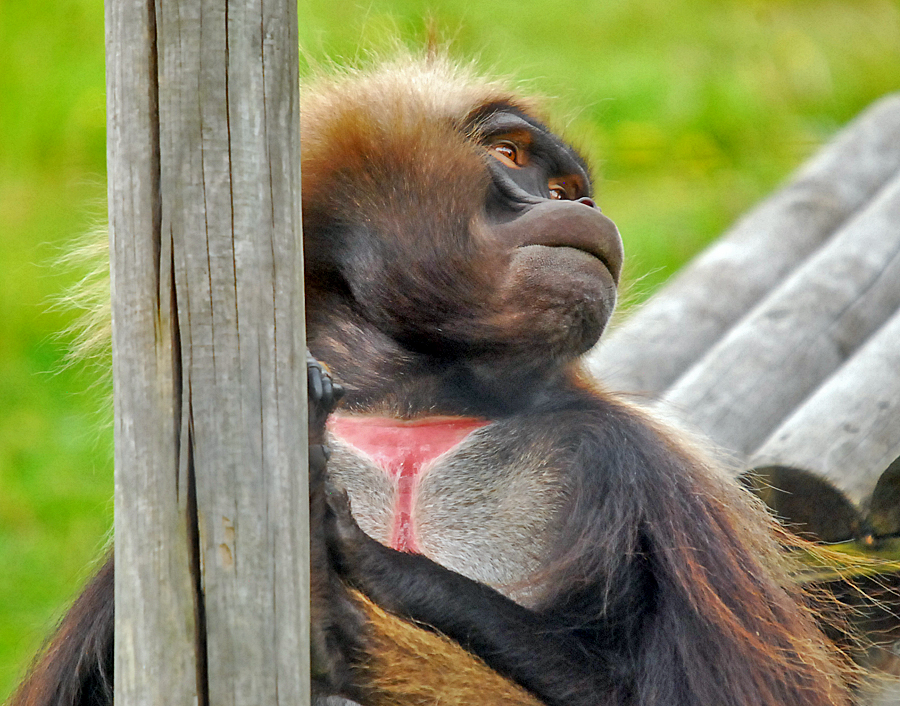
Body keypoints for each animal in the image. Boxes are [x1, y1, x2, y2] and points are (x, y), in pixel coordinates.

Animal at [9, 54, 853, 706]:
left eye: (571, 185)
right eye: (512, 156)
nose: (577, 203)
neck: (415, 406)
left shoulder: (648, 472)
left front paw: (367, 562)